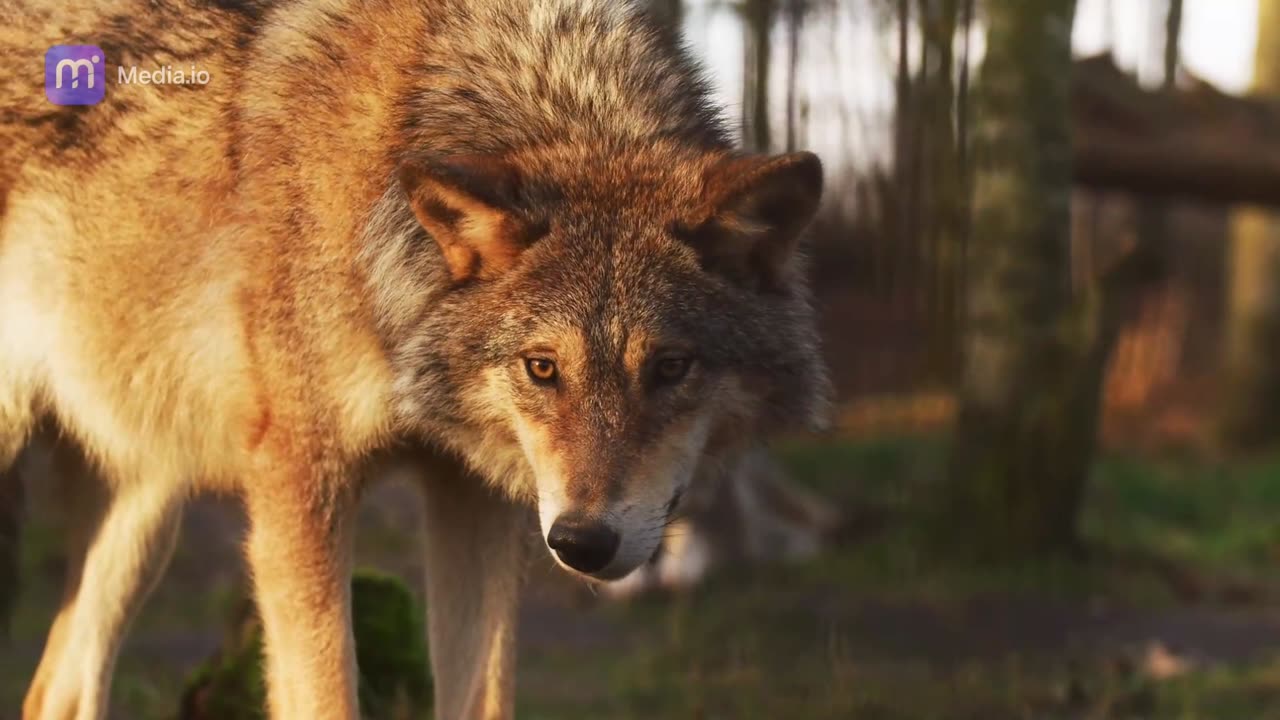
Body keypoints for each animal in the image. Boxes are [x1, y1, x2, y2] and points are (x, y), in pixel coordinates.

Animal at [0, 1, 829, 712]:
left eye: (670, 367)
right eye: (542, 367)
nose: (584, 543)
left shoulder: (479, 498)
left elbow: (483, 696)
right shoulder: (299, 481)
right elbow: (326, 695)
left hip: (145, 509)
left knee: (55, 692)